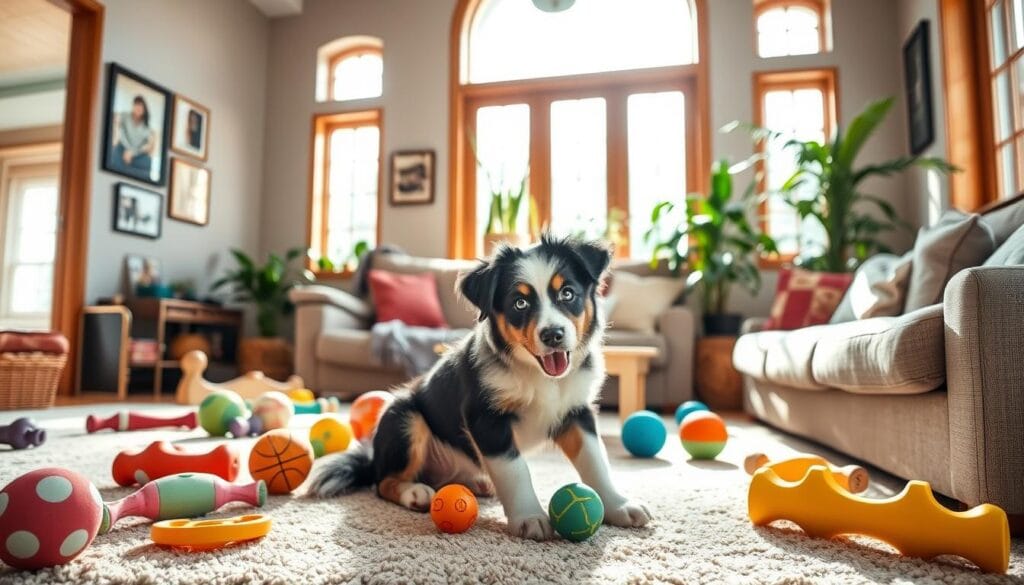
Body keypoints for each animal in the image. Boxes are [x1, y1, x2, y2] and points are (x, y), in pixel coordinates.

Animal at [307, 233, 651, 540]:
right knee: (383, 482)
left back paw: (478, 482)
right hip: (405, 417)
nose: (553, 334)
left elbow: (596, 461)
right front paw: (529, 517)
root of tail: (374, 456)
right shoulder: (485, 417)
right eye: (520, 303)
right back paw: (415, 492)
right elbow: (515, 469)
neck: (538, 376)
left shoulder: (577, 411)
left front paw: (619, 506)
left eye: (567, 293)